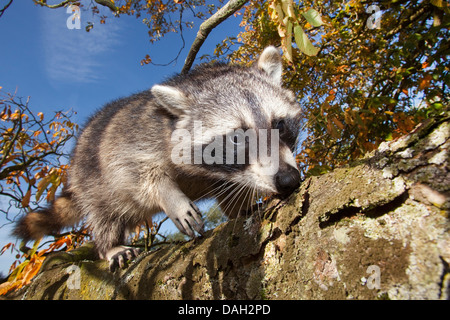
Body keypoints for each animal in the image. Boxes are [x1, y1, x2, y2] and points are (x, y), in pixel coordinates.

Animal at [13, 45, 302, 270]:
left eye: (279, 125)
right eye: (236, 138)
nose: (288, 179)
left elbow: (229, 189)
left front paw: (240, 208)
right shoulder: (133, 141)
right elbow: (135, 173)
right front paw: (168, 194)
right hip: (90, 175)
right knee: (104, 213)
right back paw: (110, 245)